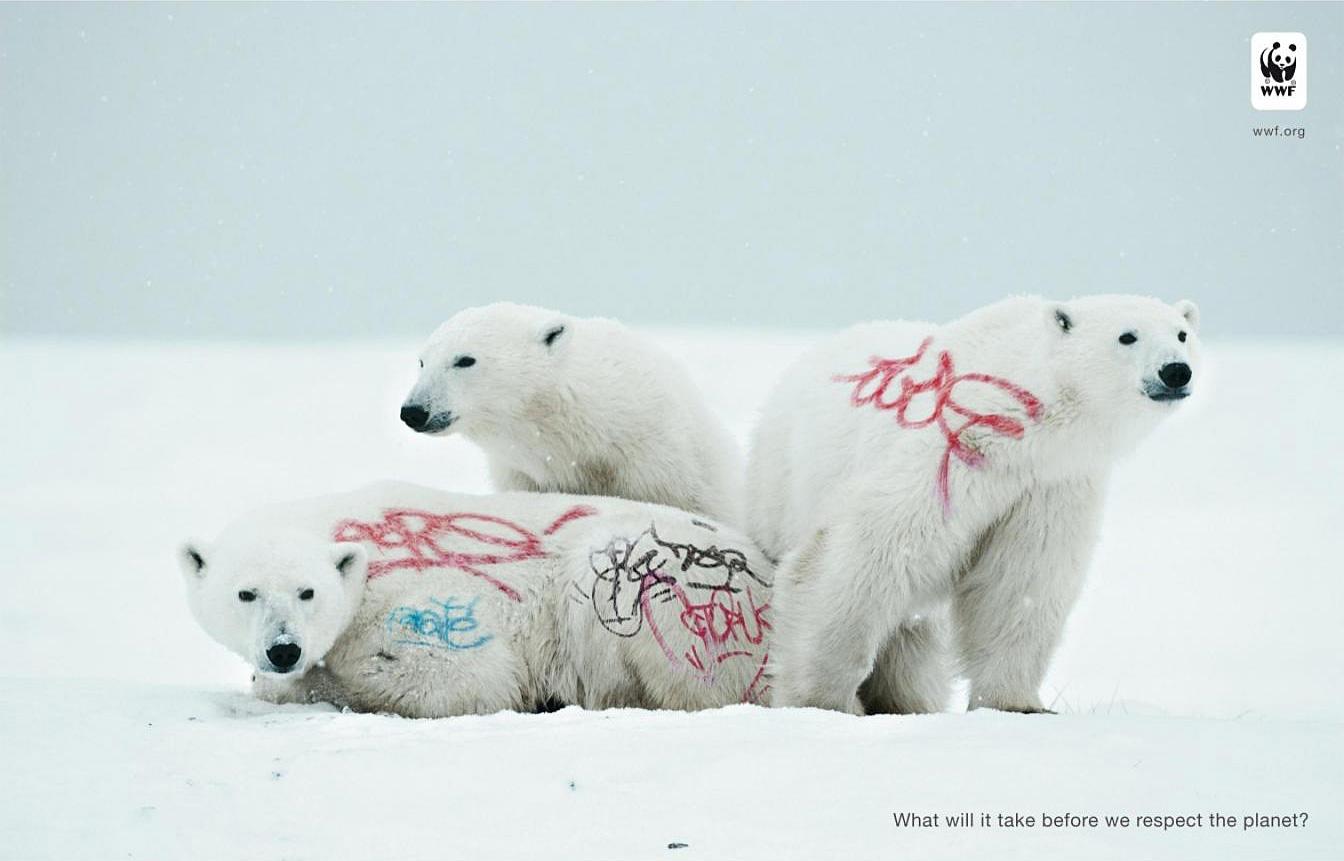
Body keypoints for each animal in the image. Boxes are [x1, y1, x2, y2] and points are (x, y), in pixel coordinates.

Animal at [179, 481, 774, 717]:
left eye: (307, 592)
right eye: (245, 593)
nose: (284, 650)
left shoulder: (421, 604)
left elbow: (463, 679)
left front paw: (301, 684)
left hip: (660, 593)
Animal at [743, 294, 1200, 716]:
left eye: (1181, 334)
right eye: (1127, 336)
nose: (1176, 371)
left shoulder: (1051, 484)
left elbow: (1021, 582)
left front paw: (1018, 704)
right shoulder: (950, 452)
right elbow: (867, 553)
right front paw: (822, 700)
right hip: (779, 486)